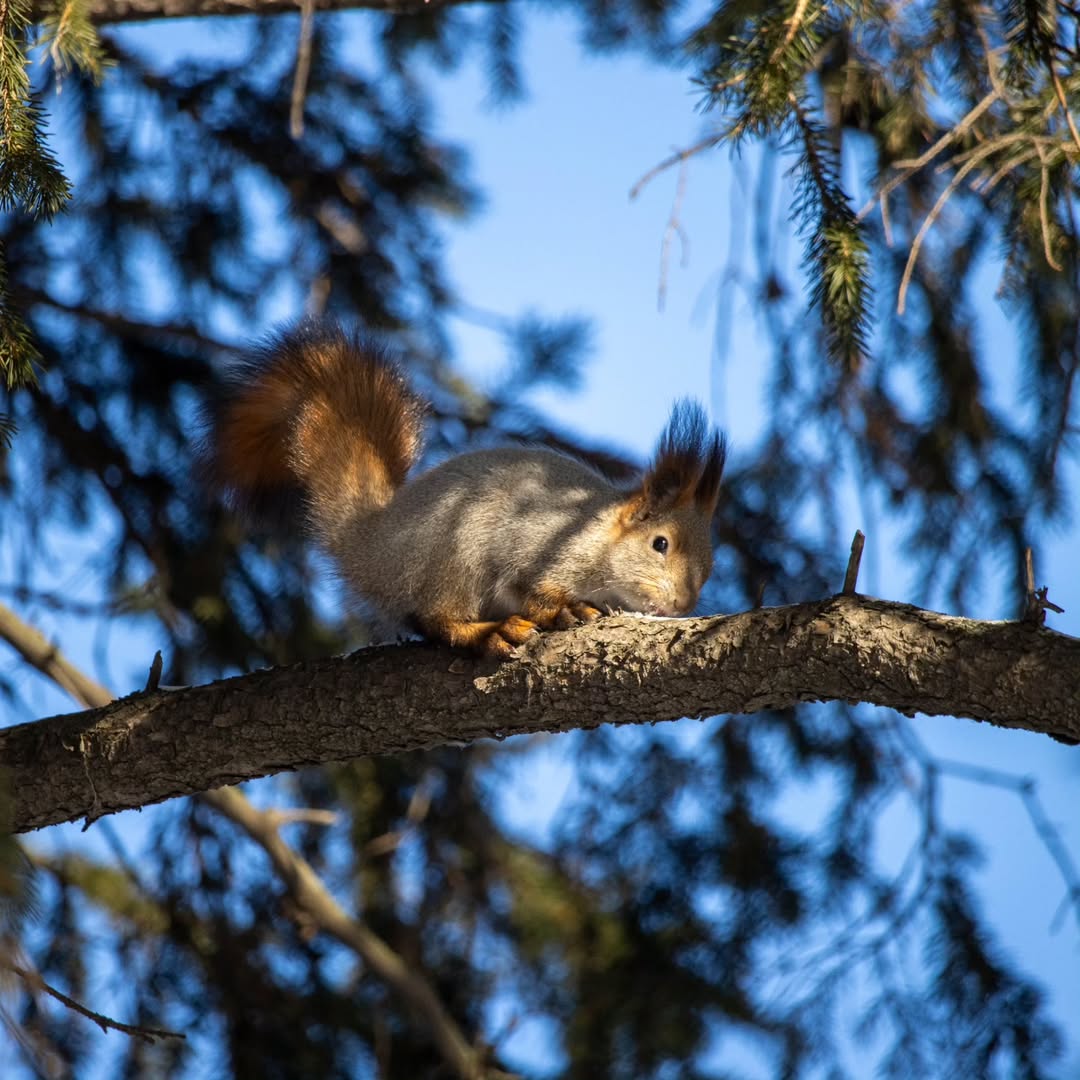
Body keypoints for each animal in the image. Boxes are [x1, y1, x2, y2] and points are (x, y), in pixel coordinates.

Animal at [205, 321, 726, 658]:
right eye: (660, 544)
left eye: (709, 566)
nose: (682, 605)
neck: (597, 536)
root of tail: (370, 544)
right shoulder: (539, 542)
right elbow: (535, 589)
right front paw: (566, 609)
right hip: (456, 553)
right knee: (441, 621)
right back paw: (491, 632)